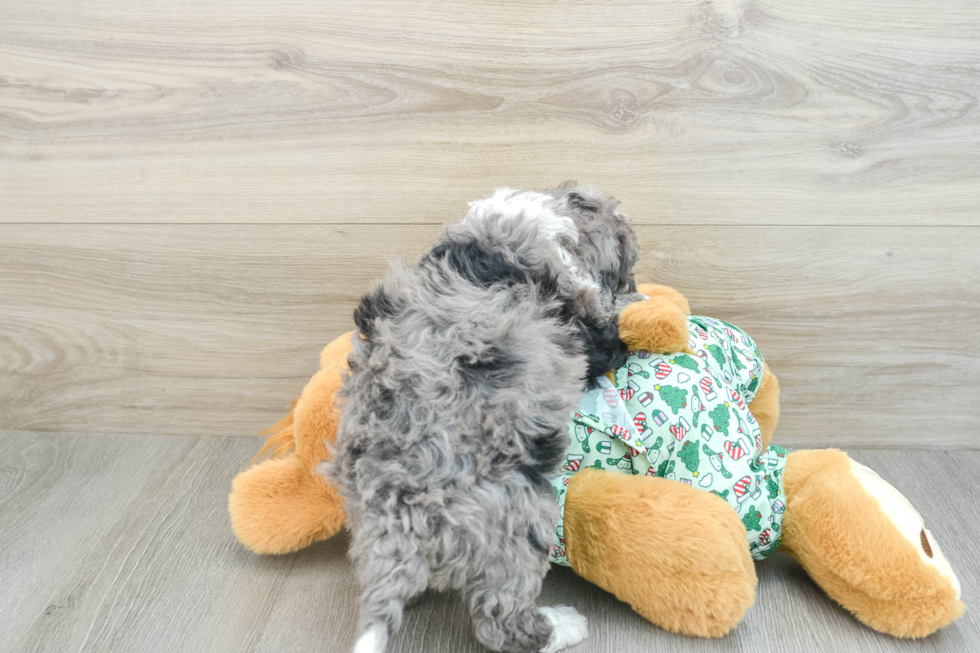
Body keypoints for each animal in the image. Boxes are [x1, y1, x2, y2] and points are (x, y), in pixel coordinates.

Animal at [332, 185, 644, 652]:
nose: (635, 284)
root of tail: (400, 513)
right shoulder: (588, 330)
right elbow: (610, 333)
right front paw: (635, 303)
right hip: (516, 521)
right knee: (502, 619)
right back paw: (563, 626)